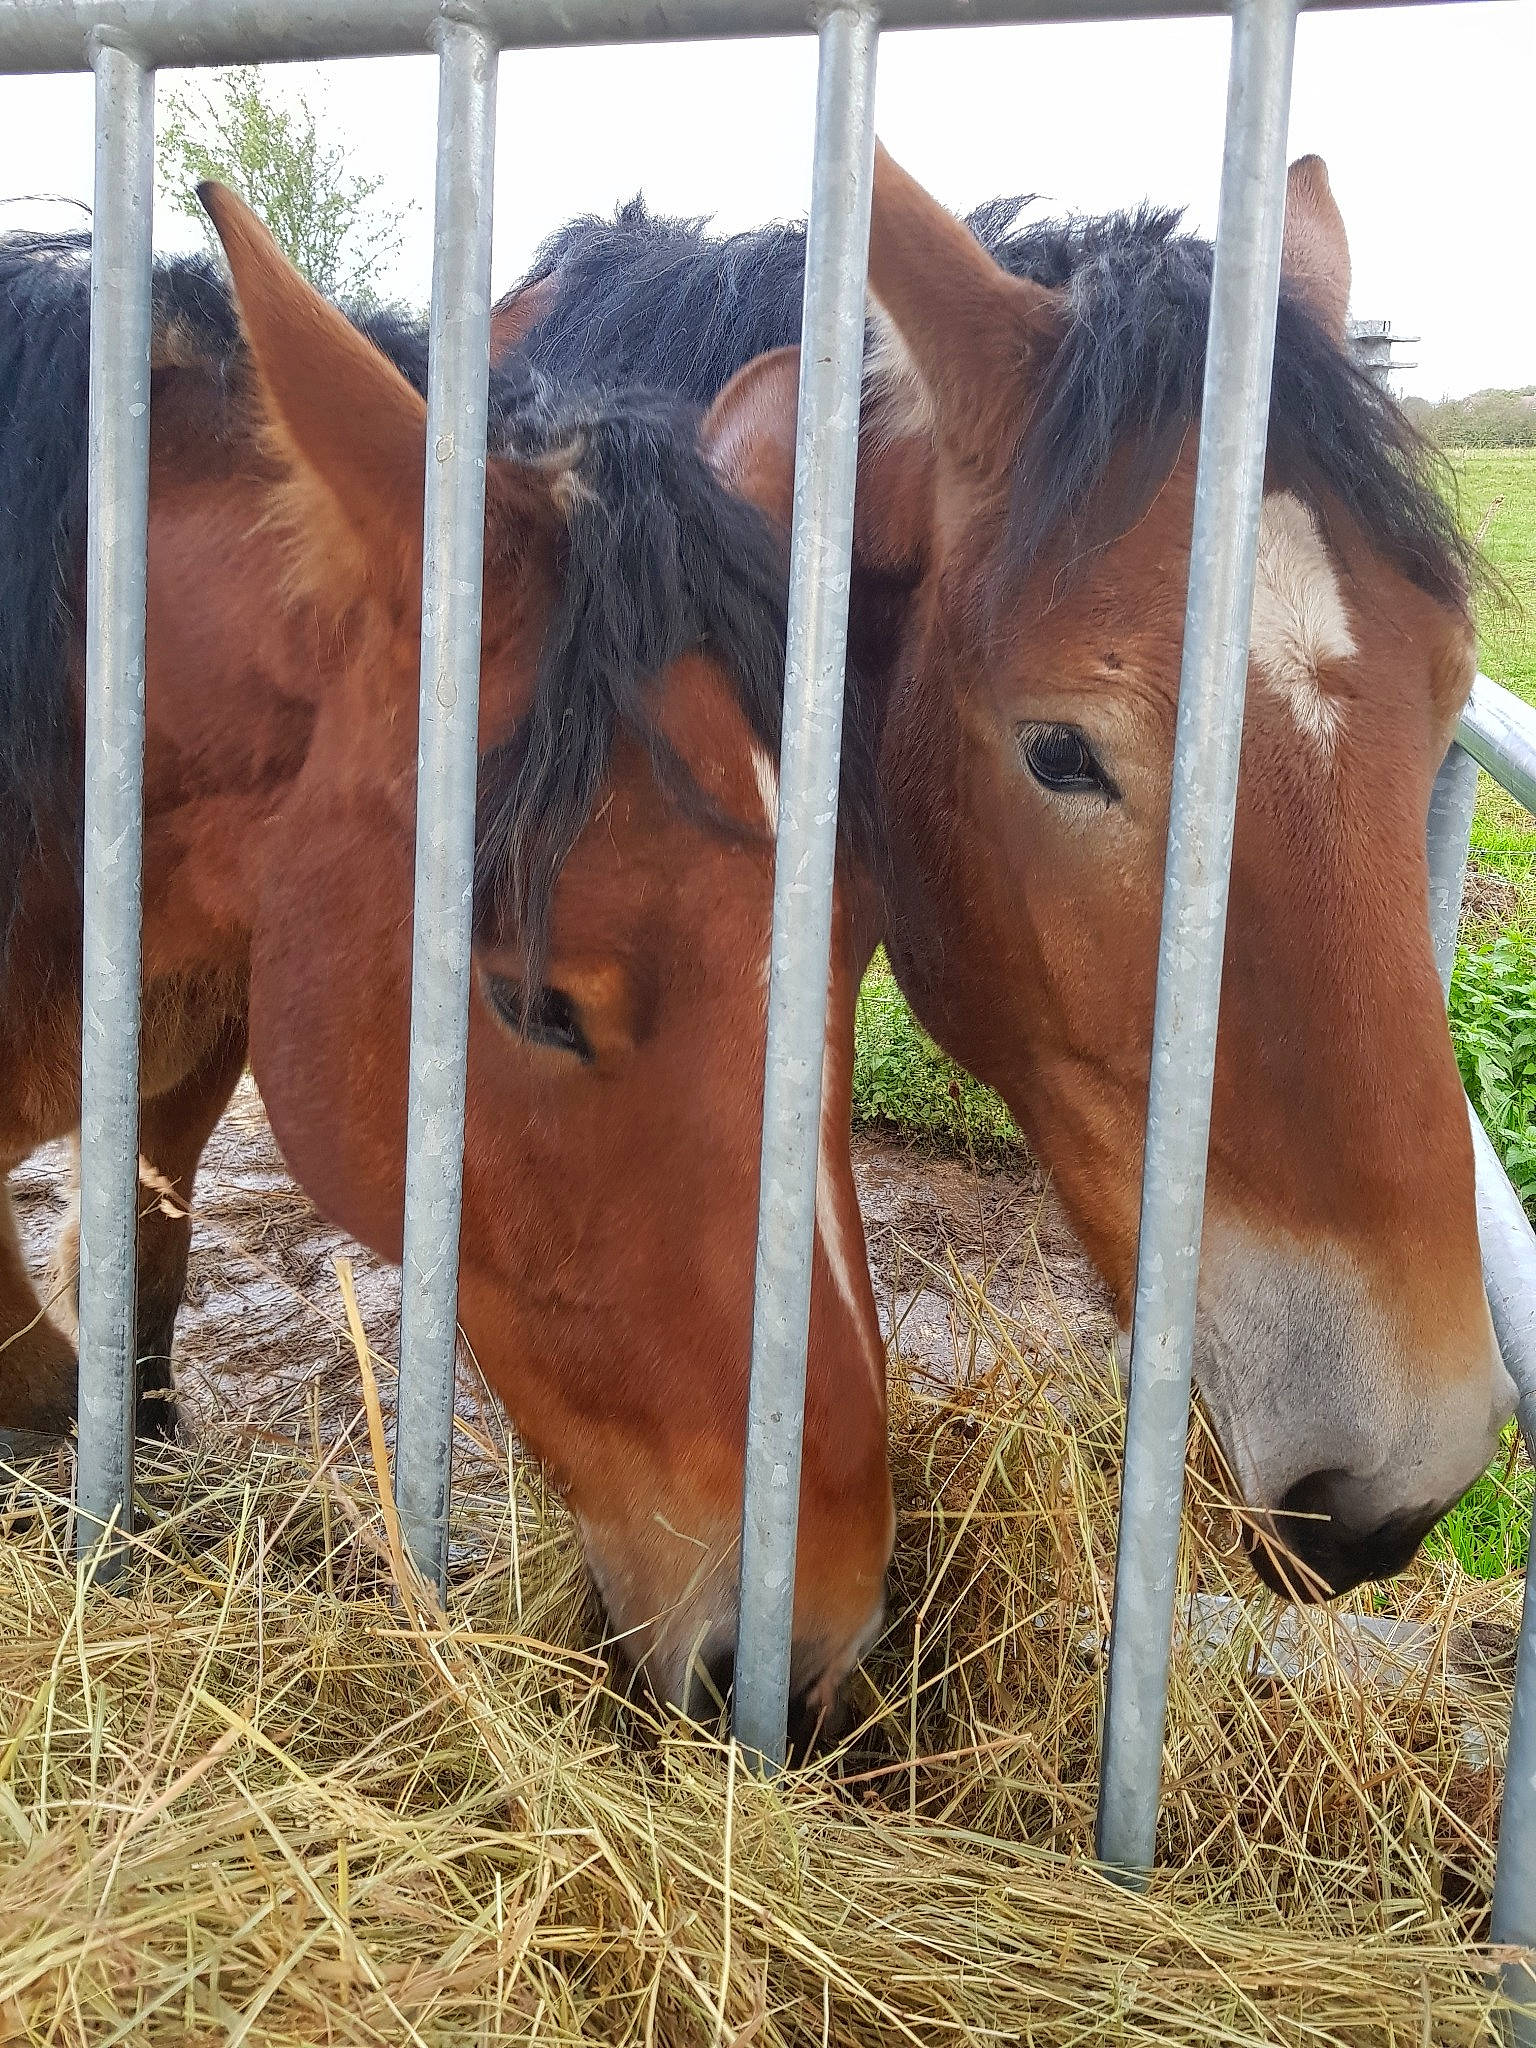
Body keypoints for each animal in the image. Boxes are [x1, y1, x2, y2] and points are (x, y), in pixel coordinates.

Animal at [0, 185, 894, 1722]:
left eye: (850, 960)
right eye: (538, 1001)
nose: (812, 1649)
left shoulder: (186, 1067)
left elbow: (141, 1298)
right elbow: (45, 1380)